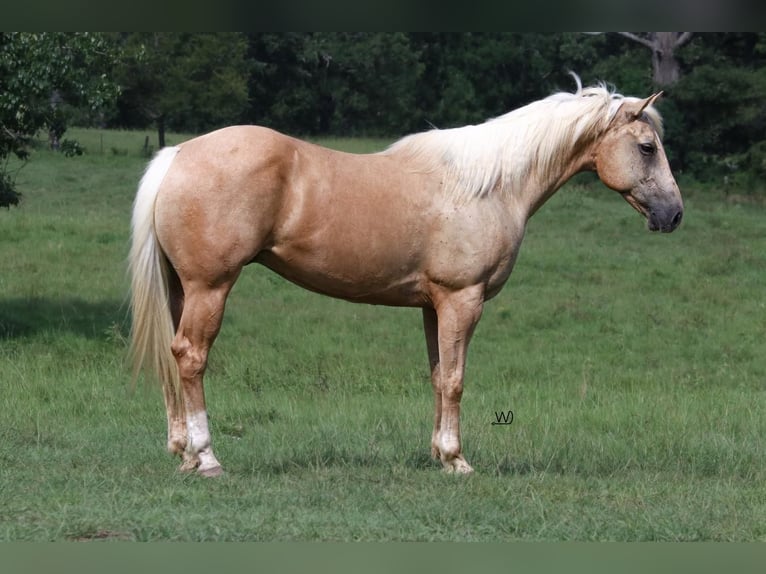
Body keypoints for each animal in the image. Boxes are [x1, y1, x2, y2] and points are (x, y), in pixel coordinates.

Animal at [130, 79, 684, 480]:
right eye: (647, 147)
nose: (674, 214)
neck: (488, 186)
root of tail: (178, 154)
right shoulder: (463, 300)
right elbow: (457, 380)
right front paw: (458, 461)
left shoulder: (433, 307)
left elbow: (439, 377)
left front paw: (439, 455)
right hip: (211, 287)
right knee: (192, 357)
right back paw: (206, 458)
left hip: (183, 289)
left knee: (175, 356)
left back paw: (183, 452)